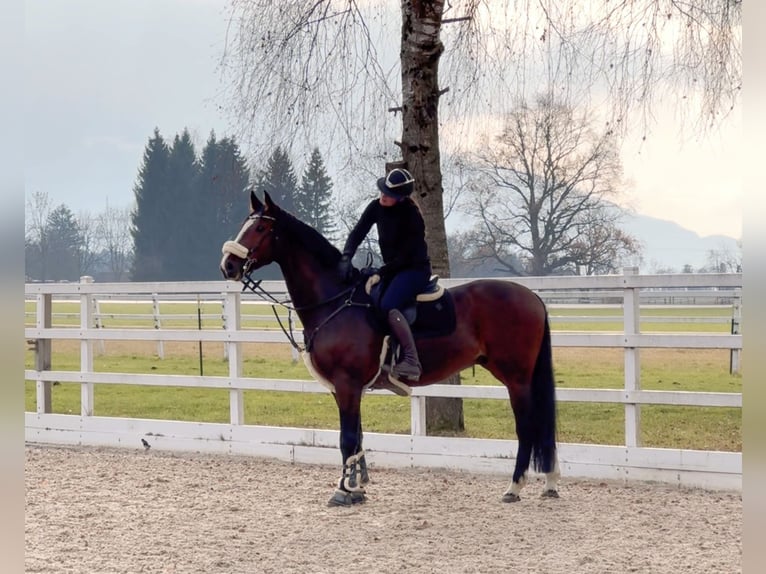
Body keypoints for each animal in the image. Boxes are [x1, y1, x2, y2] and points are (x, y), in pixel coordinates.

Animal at [220, 190, 560, 506]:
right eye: (244, 224)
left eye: (261, 228)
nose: (228, 265)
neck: (337, 301)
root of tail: (532, 297)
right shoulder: (344, 389)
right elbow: (356, 437)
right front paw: (357, 487)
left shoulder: (347, 384)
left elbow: (347, 439)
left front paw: (344, 490)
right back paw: (549, 482)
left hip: (516, 379)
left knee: (527, 428)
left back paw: (515, 486)